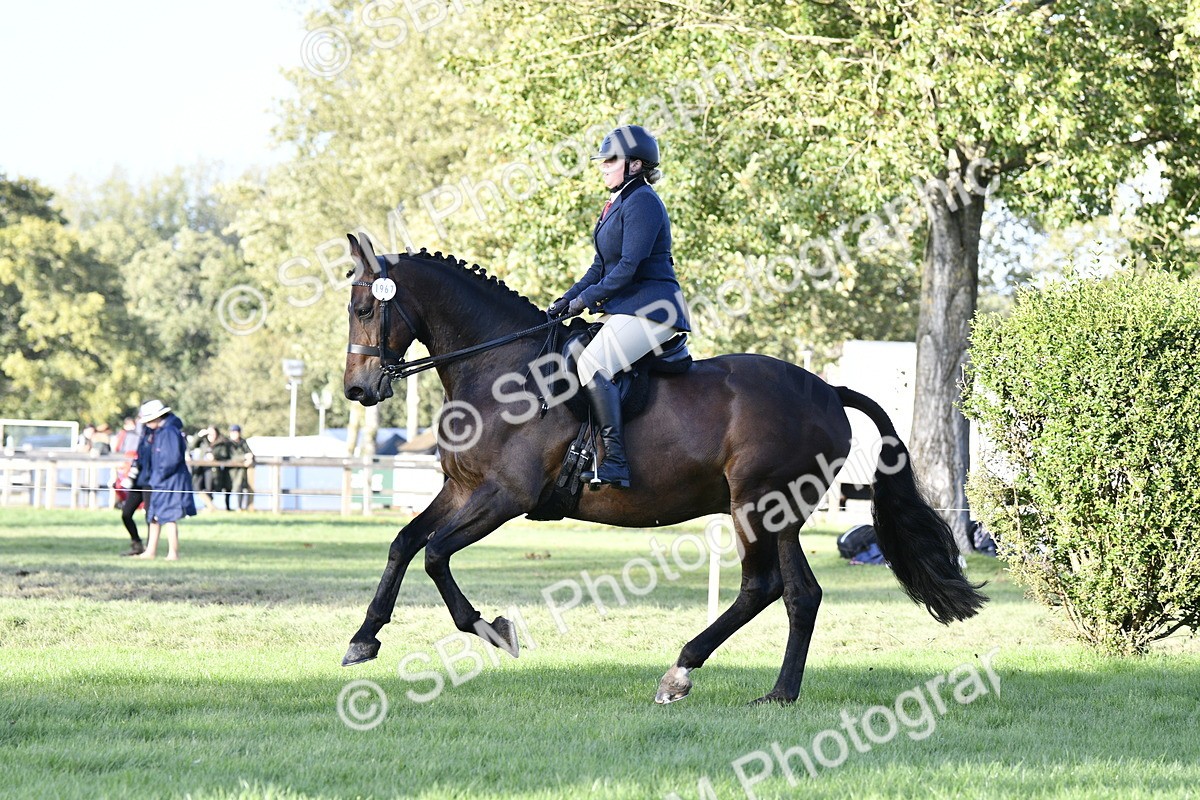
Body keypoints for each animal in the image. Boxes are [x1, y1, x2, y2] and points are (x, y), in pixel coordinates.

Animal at [341, 234, 986, 705]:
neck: (502, 368)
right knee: (800, 594)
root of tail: (828, 390)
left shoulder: (504, 497)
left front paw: (490, 629)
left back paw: (684, 672)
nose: (358, 390)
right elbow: (405, 544)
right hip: (781, 515)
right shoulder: (462, 489)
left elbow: (434, 554)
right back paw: (779, 692)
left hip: (757, 506)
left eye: (367, 307)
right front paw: (363, 639)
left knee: (765, 587)